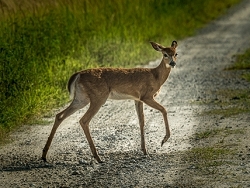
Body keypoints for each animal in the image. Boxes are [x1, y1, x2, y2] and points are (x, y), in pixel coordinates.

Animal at [41, 40, 178, 162]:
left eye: (176, 53)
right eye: (165, 54)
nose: (172, 63)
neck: (156, 77)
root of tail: (78, 74)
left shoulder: (137, 99)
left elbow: (141, 121)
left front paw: (144, 150)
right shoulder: (147, 96)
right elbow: (164, 110)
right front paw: (164, 140)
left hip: (81, 98)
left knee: (59, 115)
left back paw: (44, 155)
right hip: (98, 97)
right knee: (83, 120)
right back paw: (97, 157)